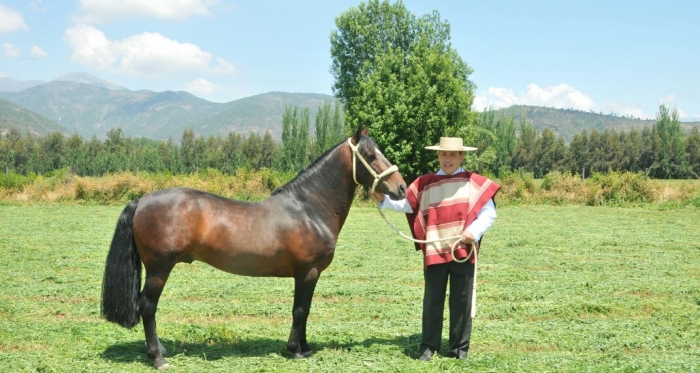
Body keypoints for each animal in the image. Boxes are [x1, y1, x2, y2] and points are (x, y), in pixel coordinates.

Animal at [101, 126, 408, 368]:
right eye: (371, 155)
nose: (402, 187)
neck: (308, 208)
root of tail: (141, 200)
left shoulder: (308, 275)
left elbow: (304, 310)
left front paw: (305, 347)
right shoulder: (307, 272)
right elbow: (300, 310)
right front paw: (296, 350)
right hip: (159, 269)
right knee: (147, 306)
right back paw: (158, 358)